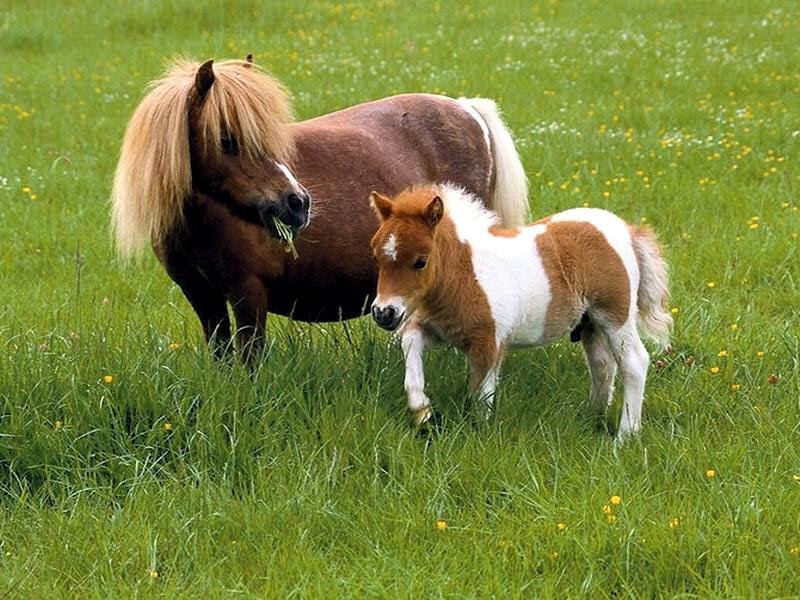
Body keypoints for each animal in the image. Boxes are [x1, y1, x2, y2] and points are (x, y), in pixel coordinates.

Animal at [111, 57, 529, 361]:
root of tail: (468, 110)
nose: (297, 203)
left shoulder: (249, 294)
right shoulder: (202, 297)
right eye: (227, 140)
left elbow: (250, 360)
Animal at [369, 184, 672, 441]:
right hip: (591, 324)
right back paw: (591, 417)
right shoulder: (441, 331)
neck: (468, 275)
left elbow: (480, 395)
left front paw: (478, 437)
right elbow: (410, 343)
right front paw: (422, 409)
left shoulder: (489, 343)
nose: (384, 313)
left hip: (615, 317)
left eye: (421, 261)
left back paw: (625, 437)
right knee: (602, 366)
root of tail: (628, 230)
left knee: (634, 362)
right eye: (377, 257)